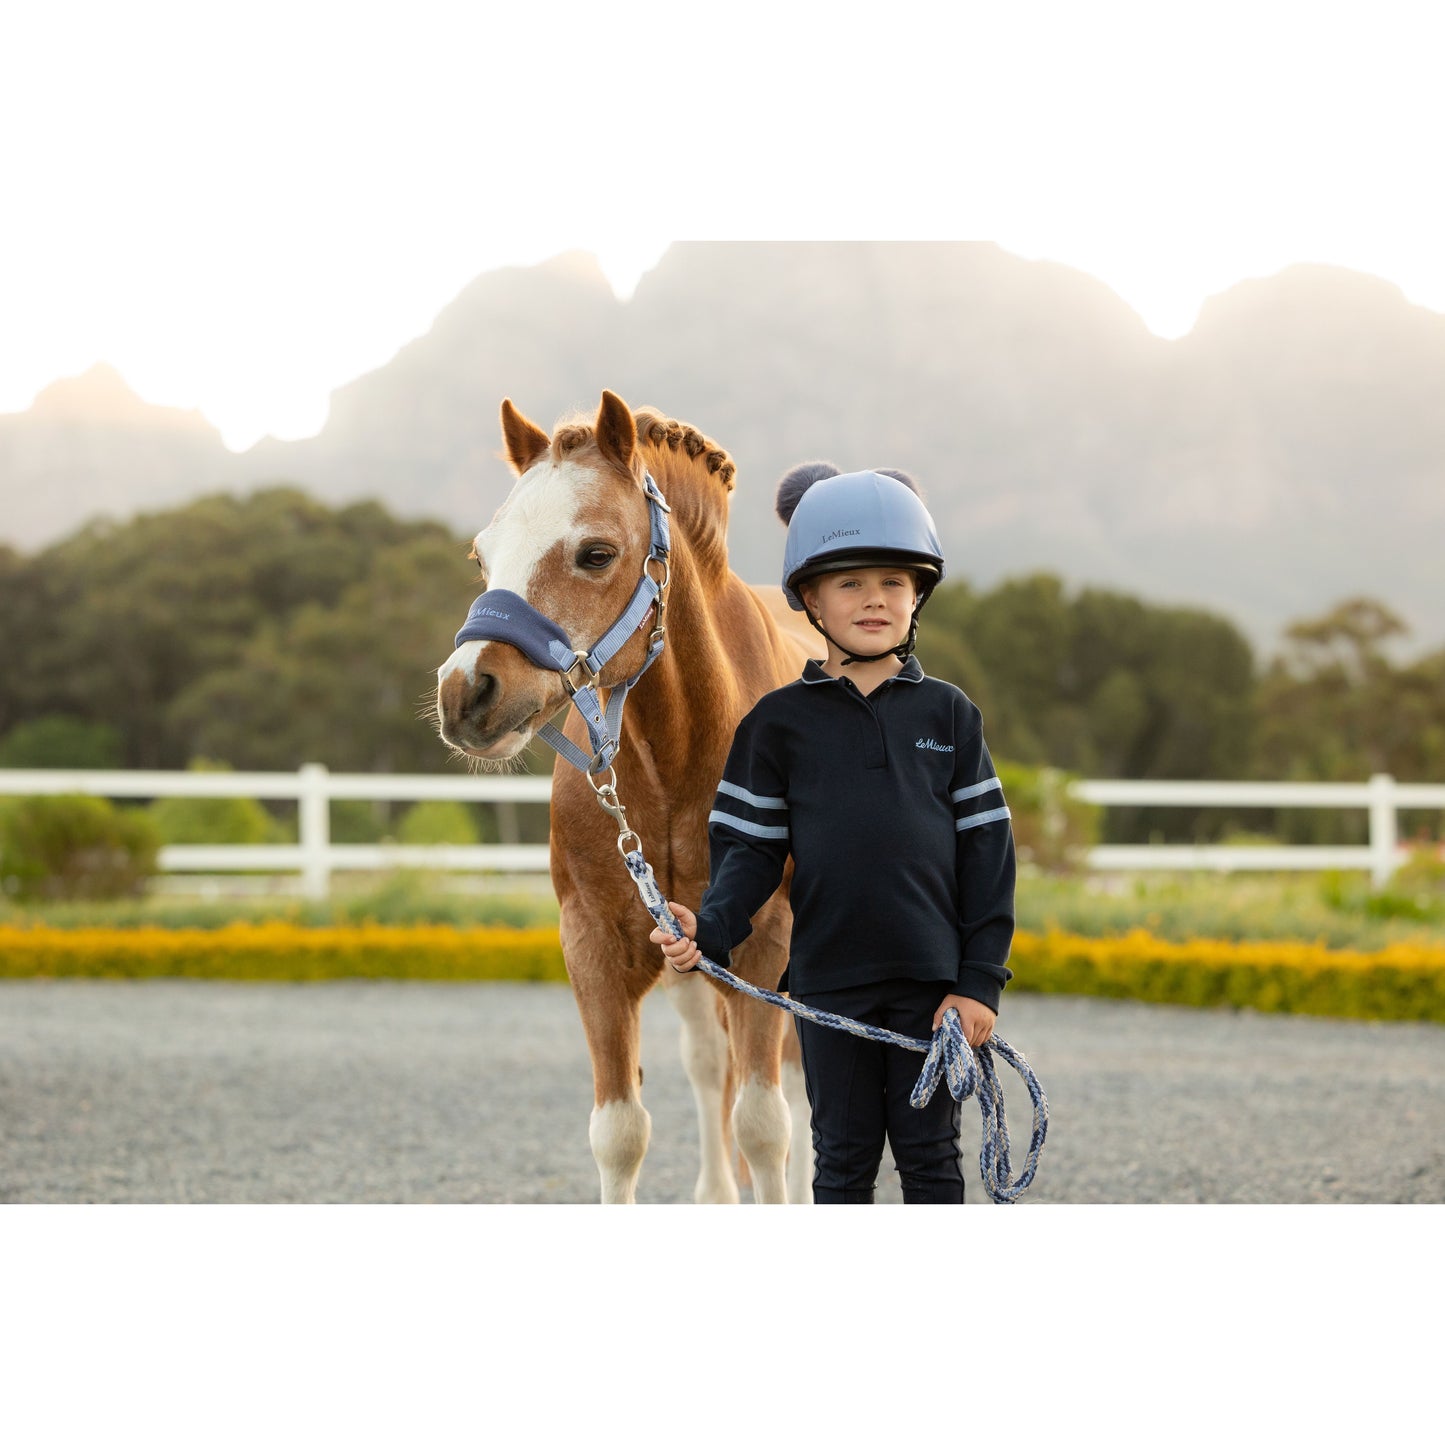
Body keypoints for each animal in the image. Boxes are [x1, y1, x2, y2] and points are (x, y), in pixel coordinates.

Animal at [434, 389, 816, 1203]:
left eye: (596, 553)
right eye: (482, 555)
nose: (464, 693)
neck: (675, 758)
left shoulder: (766, 943)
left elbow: (764, 1124)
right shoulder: (597, 948)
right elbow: (620, 1131)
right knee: (708, 1062)